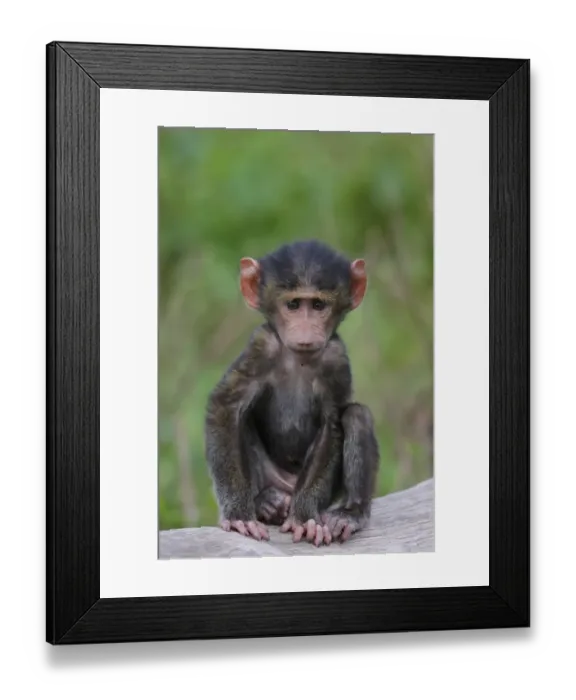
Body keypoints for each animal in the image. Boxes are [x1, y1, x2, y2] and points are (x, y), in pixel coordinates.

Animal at [204, 239, 380, 547]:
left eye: (319, 305)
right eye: (293, 304)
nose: (306, 329)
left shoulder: (336, 360)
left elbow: (332, 424)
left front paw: (304, 518)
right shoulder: (260, 346)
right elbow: (227, 406)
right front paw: (239, 516)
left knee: (357, 415)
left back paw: (349, 513)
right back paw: (265, 502)